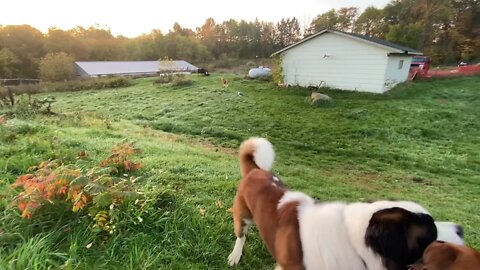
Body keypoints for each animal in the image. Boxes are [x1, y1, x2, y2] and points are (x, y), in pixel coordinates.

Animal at [229, 138, 464, 270]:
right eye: (431, 232)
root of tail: (256, 171)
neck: (353, 242)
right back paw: (235, 256)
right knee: (241, 236)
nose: (460, 228)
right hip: (243, 215)